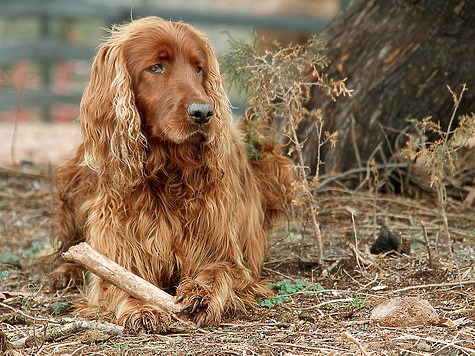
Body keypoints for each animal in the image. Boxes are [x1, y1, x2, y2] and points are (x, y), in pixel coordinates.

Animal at [49, 16, 294, 334]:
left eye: (199, 68)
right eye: (156, 67)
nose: (203, 112)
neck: (166, 172)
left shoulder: (227, 255)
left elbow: (220, 271)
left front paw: (202, 293)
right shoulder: (119, 253)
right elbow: (121, 280)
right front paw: (142, 307)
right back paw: (65, 270)